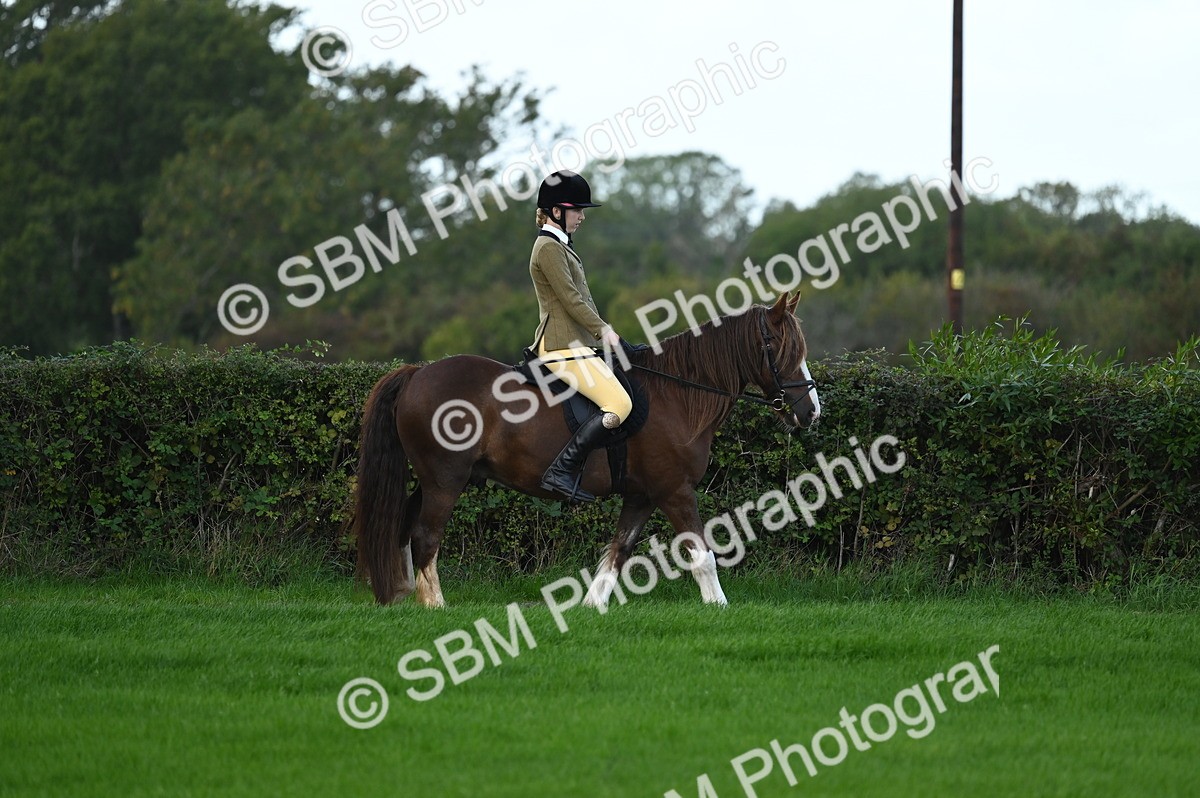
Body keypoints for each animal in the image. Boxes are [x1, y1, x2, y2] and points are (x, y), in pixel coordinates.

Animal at [352, 292, 821, 608]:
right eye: (779, 347)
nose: (811, 411)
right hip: (446, 480)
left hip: (435, 479)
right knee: (425, 534)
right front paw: (718, 607)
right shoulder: (674, 489)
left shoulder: (642, 495)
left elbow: (618, 552)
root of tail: (417, 374)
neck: (678, 394)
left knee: (404, 525)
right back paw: (435, 605)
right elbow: (701, 552)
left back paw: (404, 596)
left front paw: (592, 606)